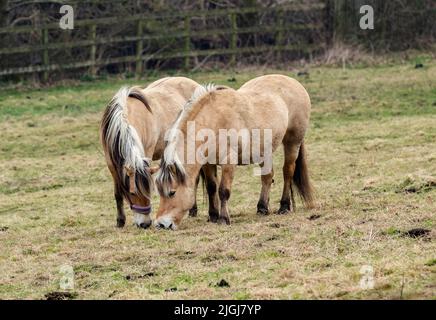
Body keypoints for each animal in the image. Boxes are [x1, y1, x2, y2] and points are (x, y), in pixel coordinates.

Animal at [100, 76, 216, 229]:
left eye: (149, 190)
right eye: (132, 193)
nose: (145, 224)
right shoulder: (112, 165)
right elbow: (117, 193)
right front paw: (120, 221)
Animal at [153, 75, 314, 230]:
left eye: (172, 192)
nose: (161, 224)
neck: (214, 121)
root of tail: (293, 82)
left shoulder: (229, 162)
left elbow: (223, 190)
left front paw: (224, 219)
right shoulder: (208, 163)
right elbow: (212, 187)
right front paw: (213, 216)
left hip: (292, 142)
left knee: (288, 172)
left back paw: (284, 206)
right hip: (265, 149)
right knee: (267, 177)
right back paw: (262, 208)